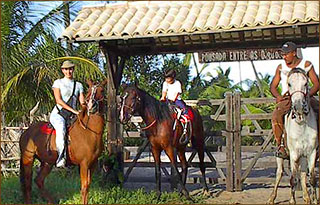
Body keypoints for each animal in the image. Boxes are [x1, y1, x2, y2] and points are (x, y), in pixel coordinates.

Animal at [268, 67, 318, 205]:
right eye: (289, 84)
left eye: (305, 83)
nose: (299, 106)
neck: (301, 124)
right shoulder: (294, 153)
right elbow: (292, 179)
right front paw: (292, 200)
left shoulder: (311, 152)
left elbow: (311, 178)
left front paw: (314, 200)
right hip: (281, 154)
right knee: (279, 173)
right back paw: (271, 198)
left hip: (303, 156)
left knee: (302, 173)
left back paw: (307, 197)